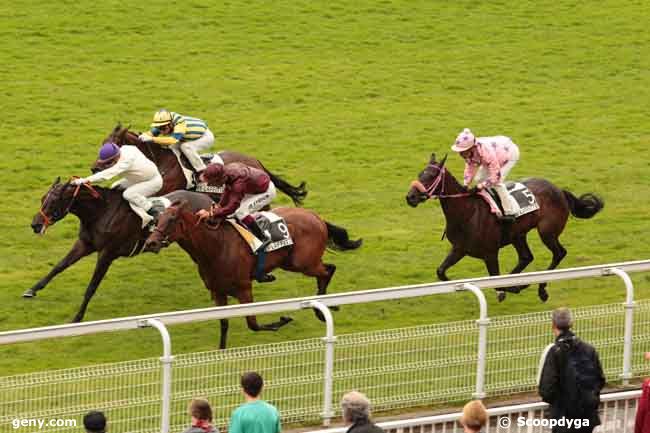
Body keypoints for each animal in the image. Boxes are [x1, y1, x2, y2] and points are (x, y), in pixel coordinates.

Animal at [27, 177, 213, 322]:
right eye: (42, 199)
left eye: (53, 202)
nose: (35, 225)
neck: (101, 212)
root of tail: (208, 199)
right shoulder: (85, 244)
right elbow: (59, 266)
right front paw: (32, 290)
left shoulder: (107, 253)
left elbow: (91, 287)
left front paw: (77, 318)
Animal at [100, 124, 308, 205]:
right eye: (103, 142)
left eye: (113, 146)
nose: (96, 167)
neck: (160, 160)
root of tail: (255, 160)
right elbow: (121, 185)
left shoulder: (165, 189)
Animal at [142, 197, 362, 350]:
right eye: (157, 219)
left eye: (171, 219)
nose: (150, 243)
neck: (215, 247)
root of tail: (316, 216)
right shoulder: (217, 291)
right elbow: (224, 323)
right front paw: (220, 351)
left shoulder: (244, 288)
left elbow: (253, 324)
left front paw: (283, 320)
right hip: (292, 263)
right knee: (327, 270)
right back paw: (326, 304)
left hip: (302, 263)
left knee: (328, 270)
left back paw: (322, 308)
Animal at [404, 154, 604, 300]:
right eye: (420, 174)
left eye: (431, 176)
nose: (410, 197)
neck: (467, 213)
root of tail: (559, 190)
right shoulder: (459, 248)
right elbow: (441, 272)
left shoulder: (490, 253)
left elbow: (496, 280)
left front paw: (515, 287)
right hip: (518, 234)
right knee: (526, 257)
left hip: (547, 232)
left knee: (559, 253)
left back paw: (541, 288)